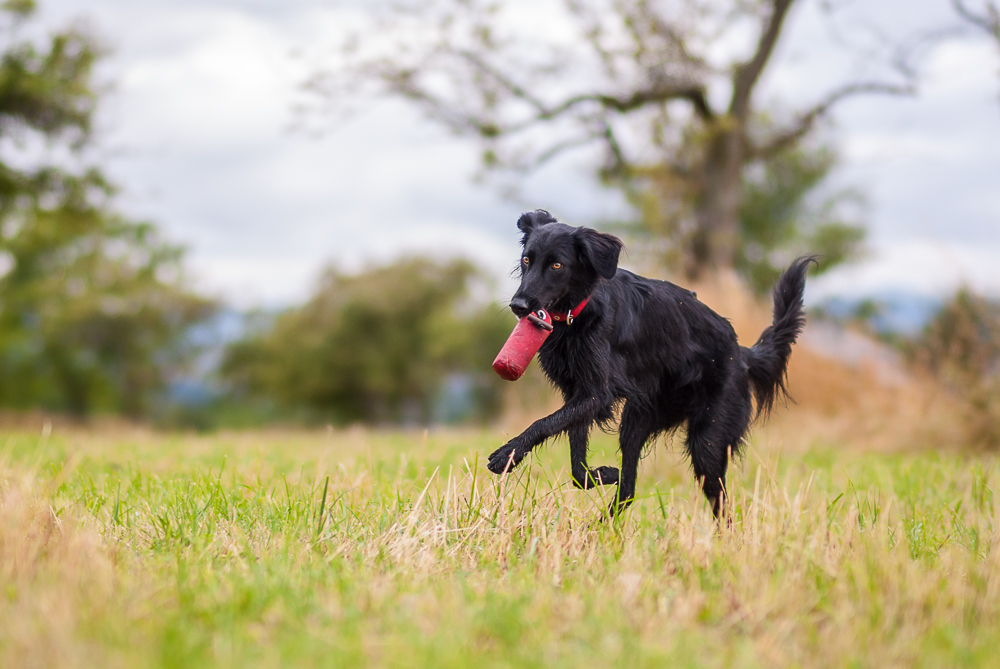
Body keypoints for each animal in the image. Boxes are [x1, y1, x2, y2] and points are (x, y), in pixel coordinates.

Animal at [488, 209, 816, 516]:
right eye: (527, 260)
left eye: (557, 265)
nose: (518, 306)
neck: (577, 313)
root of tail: (742, 354)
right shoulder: (578, 393)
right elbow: (577, 467)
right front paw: (603, 473)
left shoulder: (596, 393)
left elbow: (543, 423)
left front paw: (508, 454)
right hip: (636, 420)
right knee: (629, 489)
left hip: (708, 440)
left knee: (720, 502)